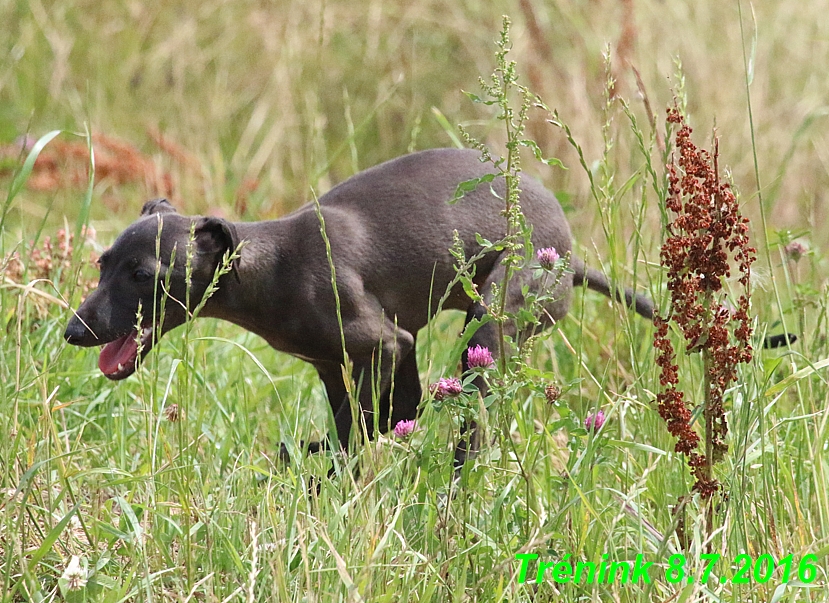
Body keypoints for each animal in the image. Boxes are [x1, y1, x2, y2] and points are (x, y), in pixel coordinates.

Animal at [64, 149, 652, 464]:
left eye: (143, 275)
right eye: (101, 263)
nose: (72, 332)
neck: (273, 267)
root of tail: (570, 256)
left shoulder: (384, 343)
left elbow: (356, 434)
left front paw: (319, 469)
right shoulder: (341, 361)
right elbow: (367, 422)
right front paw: (311, 459)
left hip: (489, 327)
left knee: (468, 426)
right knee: (414, 408)